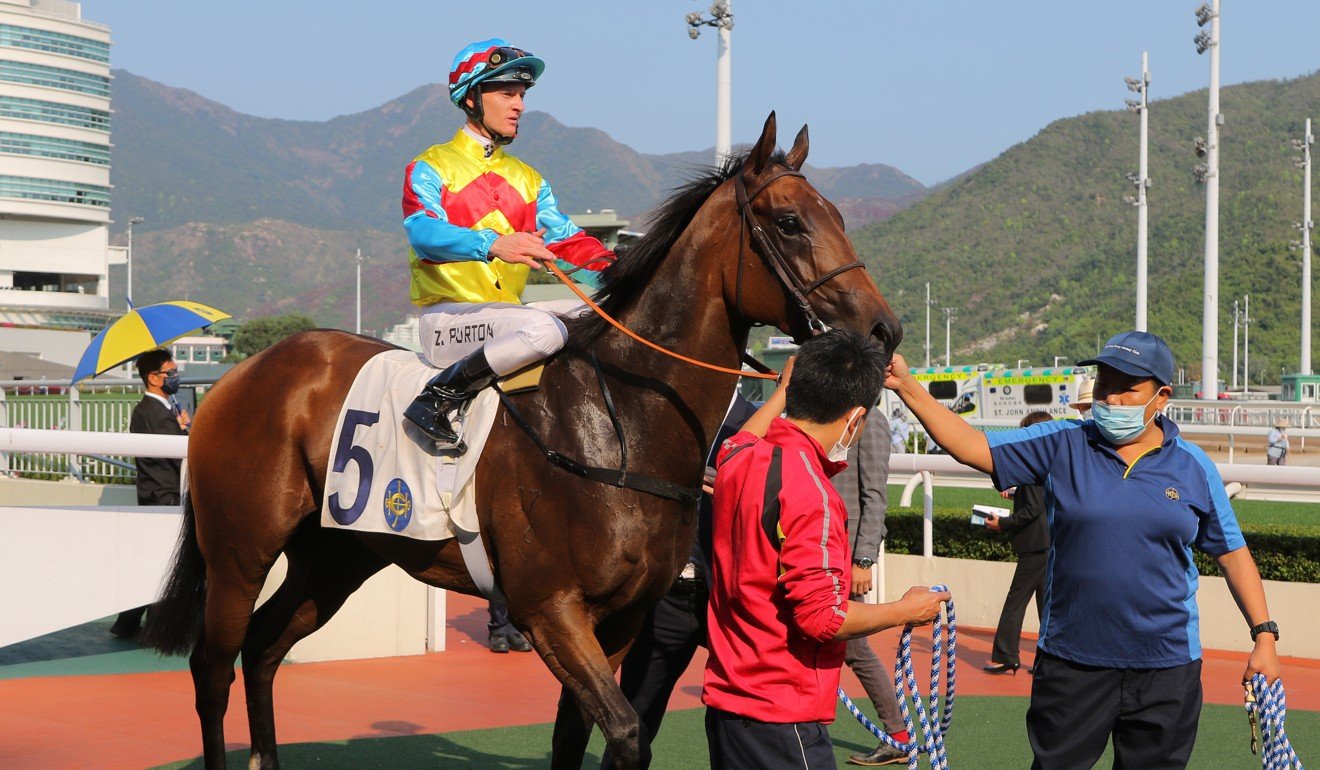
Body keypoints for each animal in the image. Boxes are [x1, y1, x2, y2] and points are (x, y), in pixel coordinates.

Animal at [147, 110, 908, 770]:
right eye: (791, 223)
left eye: (840, 217)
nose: (885, 331)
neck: (622, 423)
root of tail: (237, 376)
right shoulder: (550, 609)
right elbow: (626, 732)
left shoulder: (622, 618)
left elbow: (574, 737)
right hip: (240, 550)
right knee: (212, 665)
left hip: (337, 555)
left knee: (262, 649)